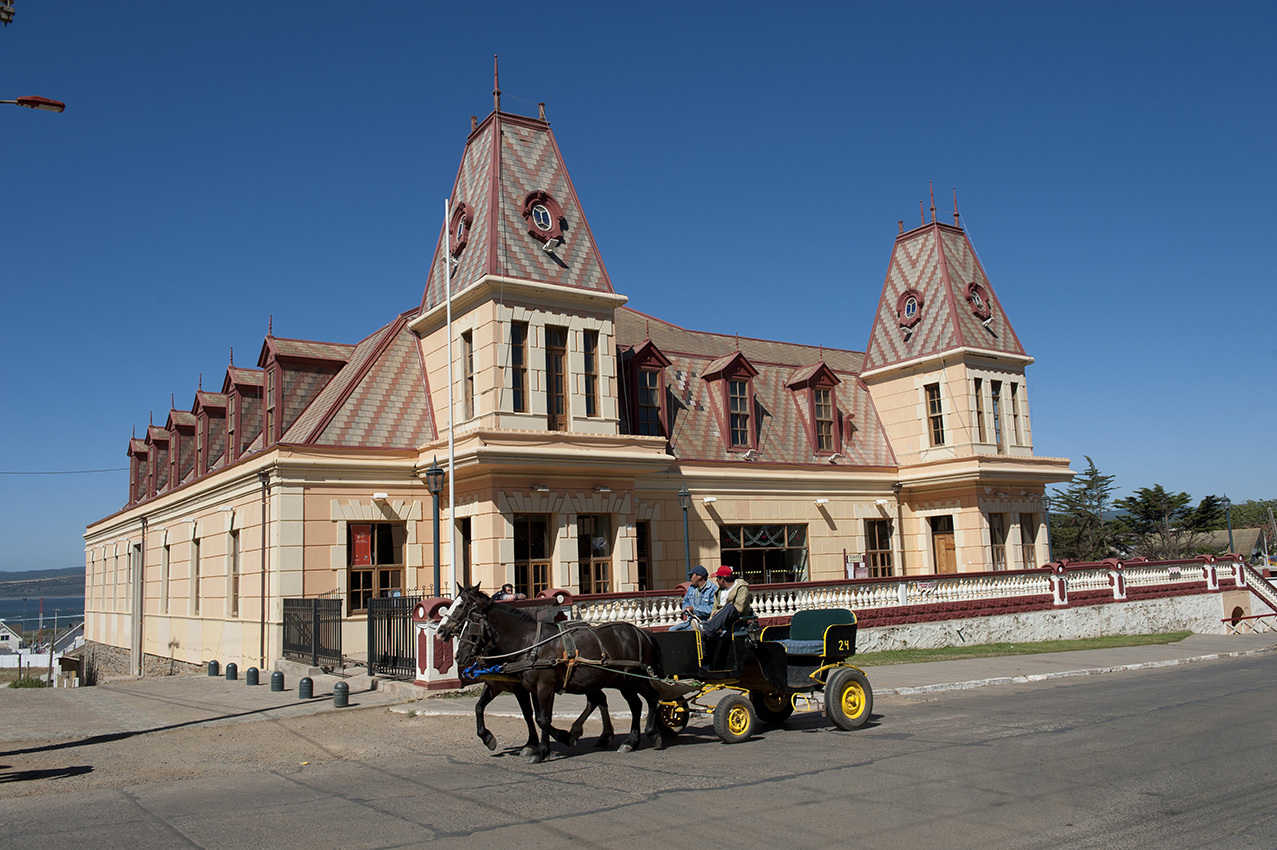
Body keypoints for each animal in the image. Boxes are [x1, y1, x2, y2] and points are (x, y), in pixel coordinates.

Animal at [439, 581, 664, 760]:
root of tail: (640, 632)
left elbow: (540, 718)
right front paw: (493, 739)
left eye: (463, 608)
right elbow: (483, 708)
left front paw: (541, 750)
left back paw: (650, 734)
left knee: (651, 699)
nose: (441, 631)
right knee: (624, 703)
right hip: (618, 680)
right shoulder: (512, 685)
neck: (529, 643)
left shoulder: (542, 687)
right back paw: (625, 740)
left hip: (634, 677)